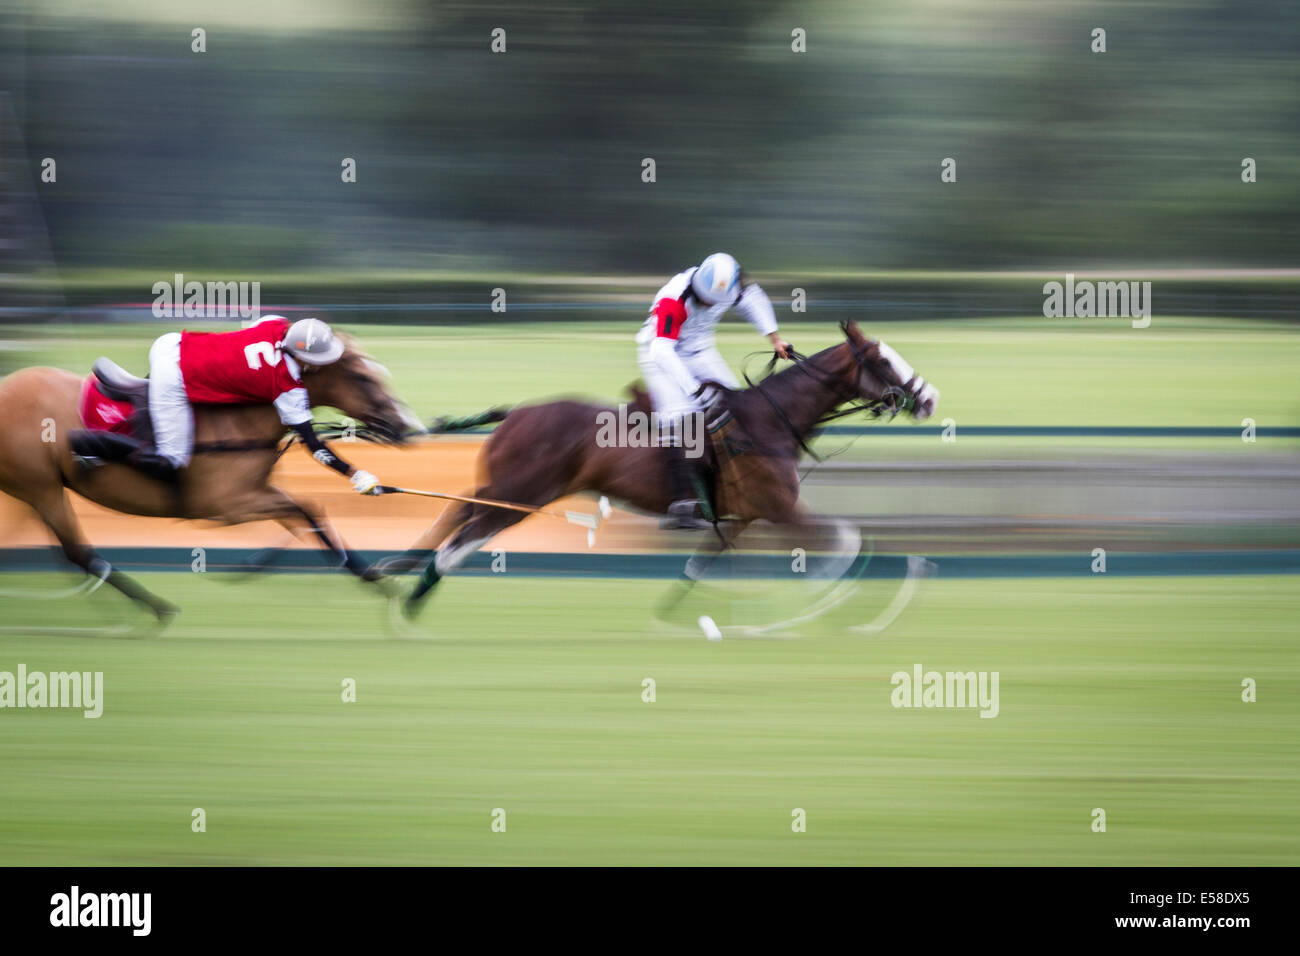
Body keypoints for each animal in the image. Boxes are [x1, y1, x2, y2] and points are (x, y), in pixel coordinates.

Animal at [0, 335, 410, 621]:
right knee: (80, 553)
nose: (404, 425)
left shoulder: (254, 491)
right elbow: (305, 510)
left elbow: (306, 514)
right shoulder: (225, 505)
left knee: (63, 551)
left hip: (34, 491)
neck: (243, 418)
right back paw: (155, 608)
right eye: (361, 376)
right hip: (41, 488)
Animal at [400, 319, 941, 621]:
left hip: (503, 489)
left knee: (453, 517)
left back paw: (394, 574)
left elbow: (697, 567)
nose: (929, 399)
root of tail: (514, 413)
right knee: (457, 543)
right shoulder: (782, 507)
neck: (769, 420)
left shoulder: (743, 516)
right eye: (883, 362)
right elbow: (848, 544)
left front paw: (670, 618)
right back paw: (406, 607)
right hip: (520, 495)